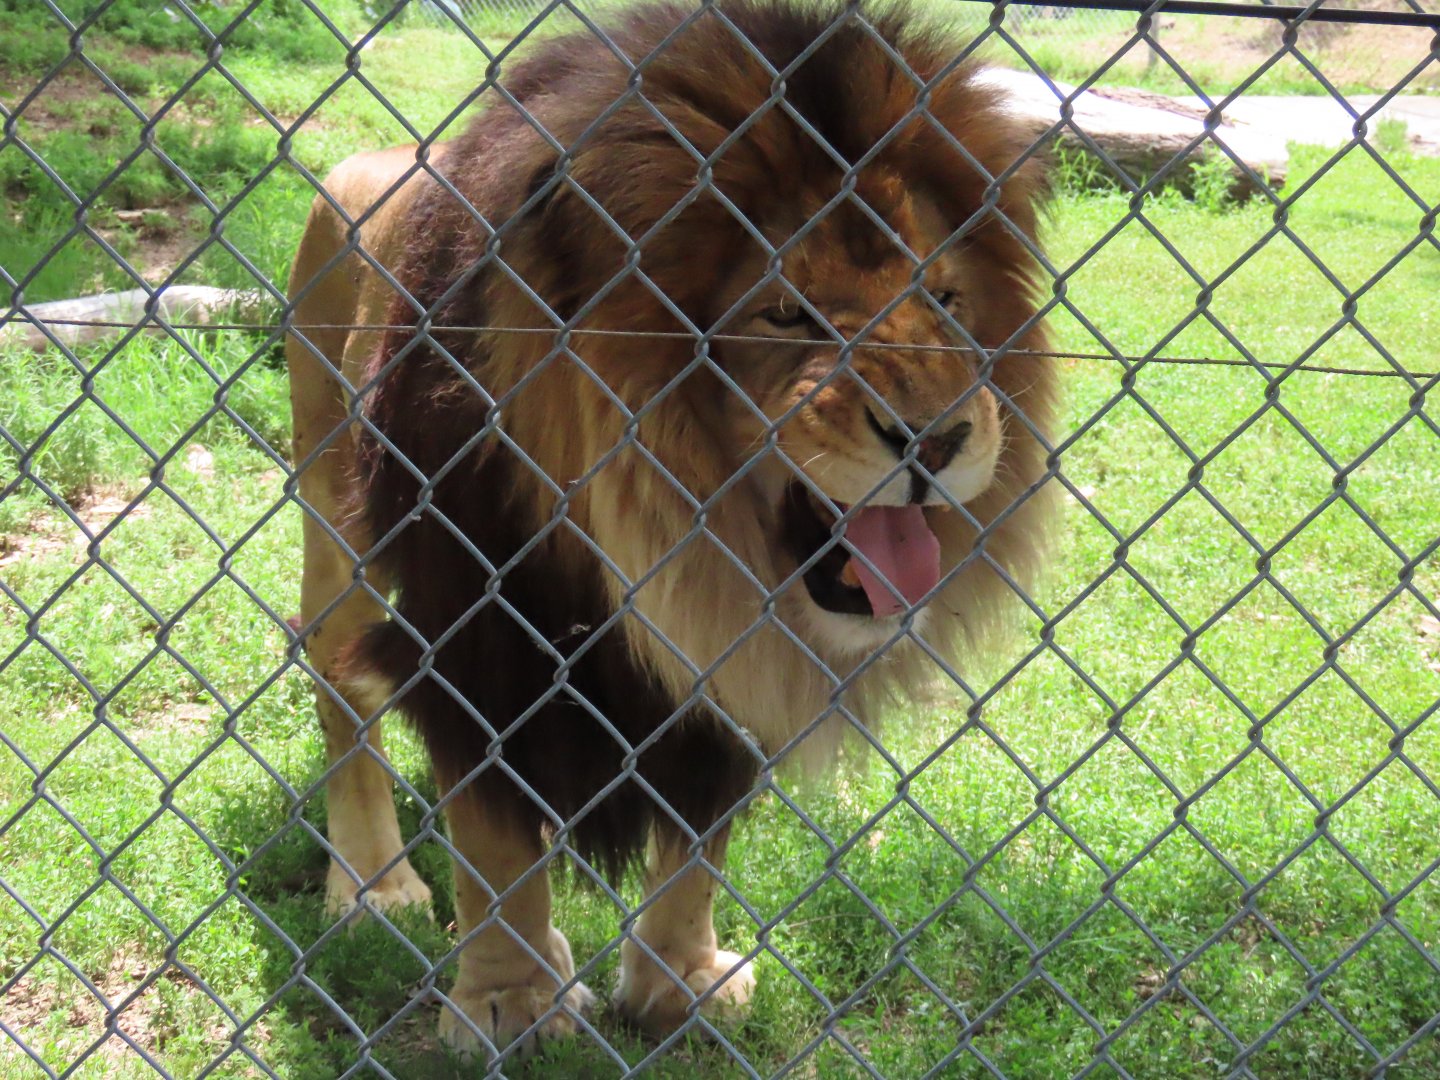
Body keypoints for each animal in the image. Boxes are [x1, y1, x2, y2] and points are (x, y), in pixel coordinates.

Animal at [284, 0, 1056, 1060]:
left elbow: (698, 842)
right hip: (338, 532)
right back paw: (371, 885)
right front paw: (509, 1000)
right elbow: (492, 843)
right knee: (338, 686)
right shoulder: (475, 637)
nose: (937, 438)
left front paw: (676, 984)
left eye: (943, 299)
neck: (662, 540)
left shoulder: (723, 665)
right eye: (785, 313)